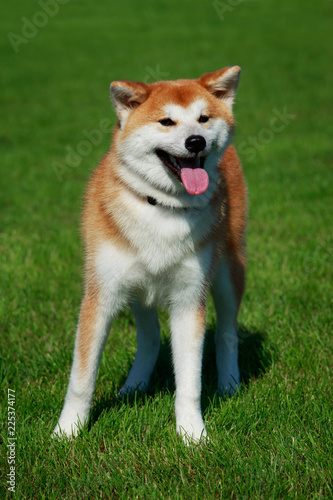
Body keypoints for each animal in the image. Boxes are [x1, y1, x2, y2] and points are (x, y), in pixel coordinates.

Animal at [53, 65, 246, 442]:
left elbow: (190, 382)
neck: (163, 206)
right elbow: (81, 378)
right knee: (150, 337)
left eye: (203, 118)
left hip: (229, 271)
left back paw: (230, 383)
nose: (196, 141)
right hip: (135, 289)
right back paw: (134, 386)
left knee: (227, 333)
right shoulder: (101, 294)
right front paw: (67, 431)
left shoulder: (189, 299)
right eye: (166, 122)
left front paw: (192, 435)